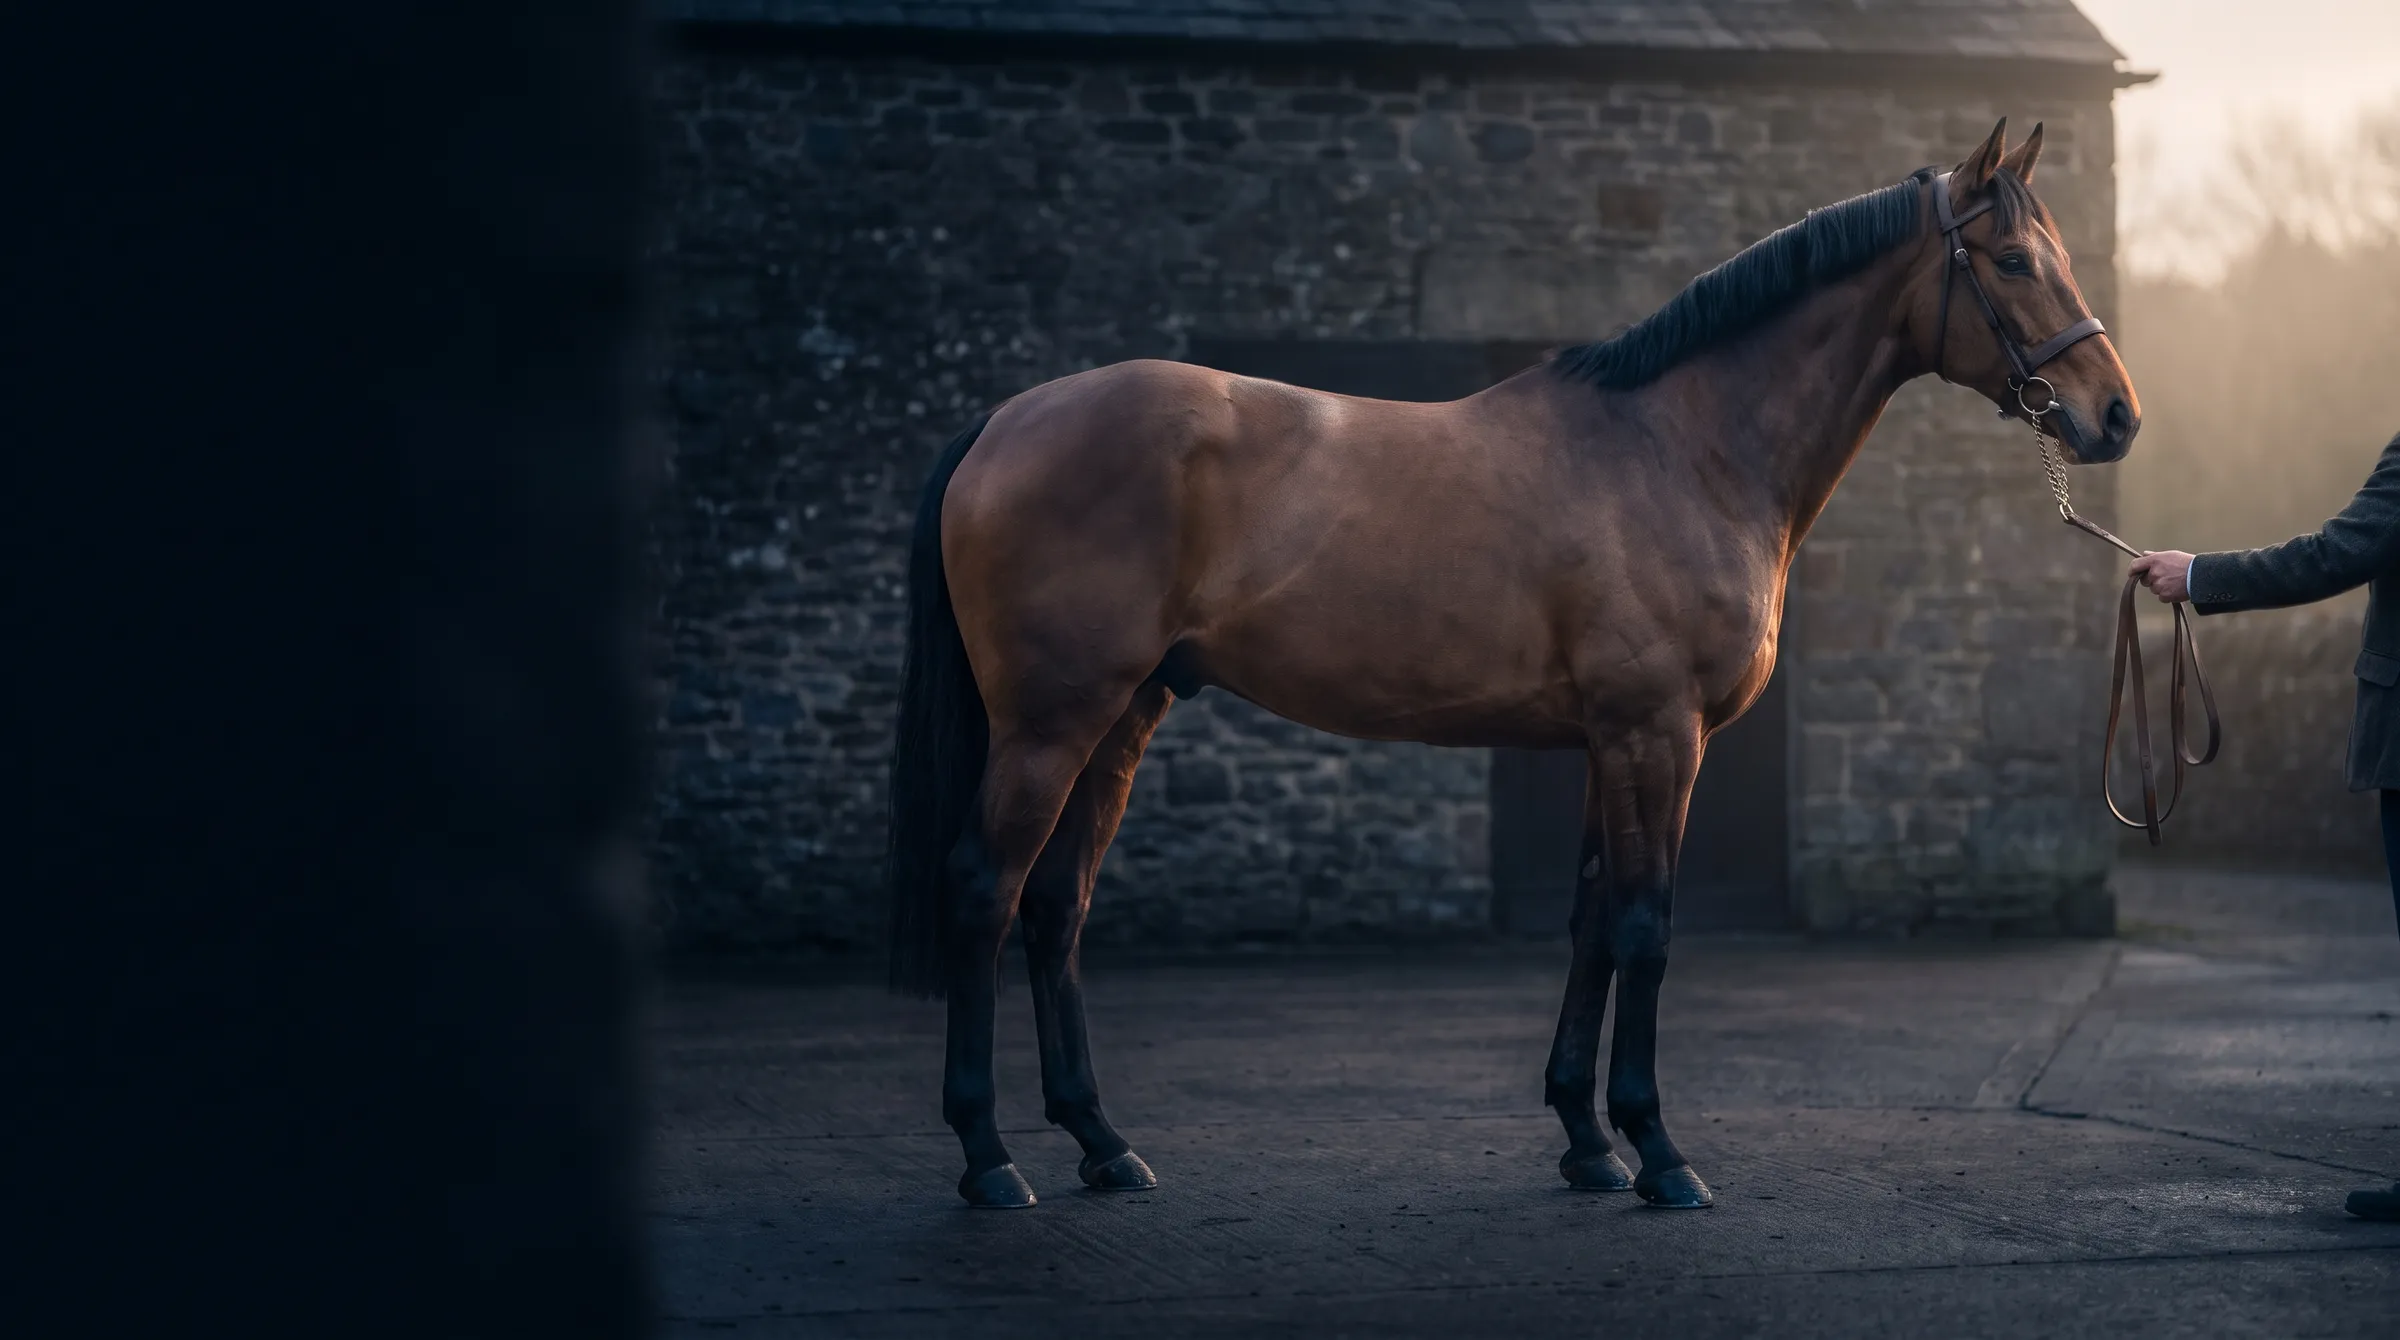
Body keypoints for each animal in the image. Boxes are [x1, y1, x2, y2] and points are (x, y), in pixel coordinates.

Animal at [884, 119, 2139, 1209]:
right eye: (2015, 260)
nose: (2116, 416)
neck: (1683, 444)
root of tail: (1002, 422)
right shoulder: (1655, 732)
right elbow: (1643, 925)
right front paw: (1660, 1152)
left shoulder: (1605, 740)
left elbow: (1590, 920)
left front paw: (1587, 1141)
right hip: (1050, 722)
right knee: (986, 889)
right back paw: (990, 1157)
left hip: (1123, 716)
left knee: (1058, 905)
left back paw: (1102, 1142)